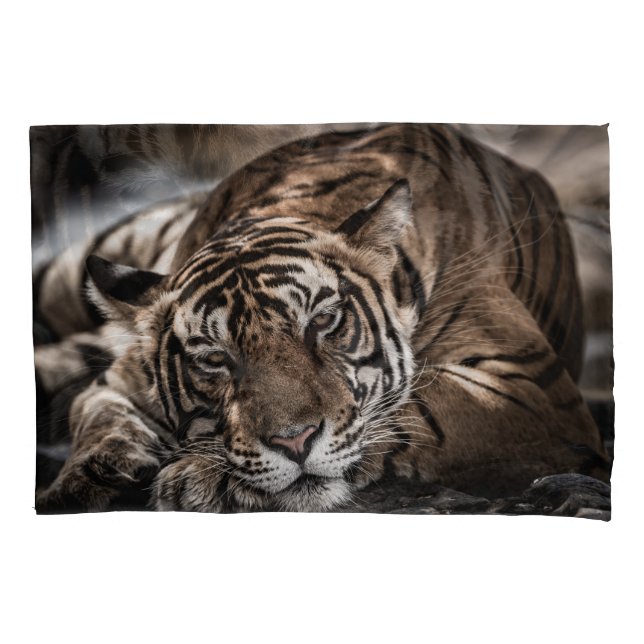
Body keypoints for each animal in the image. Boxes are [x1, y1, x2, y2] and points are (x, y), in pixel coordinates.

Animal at [33, 123, 611, 513]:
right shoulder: (119, 378)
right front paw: (86, 479)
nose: (294, 442)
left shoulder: (532, 387)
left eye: (324, 322)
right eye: (215, 359)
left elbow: (419, 412)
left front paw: (202, 477)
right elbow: (98, 414)